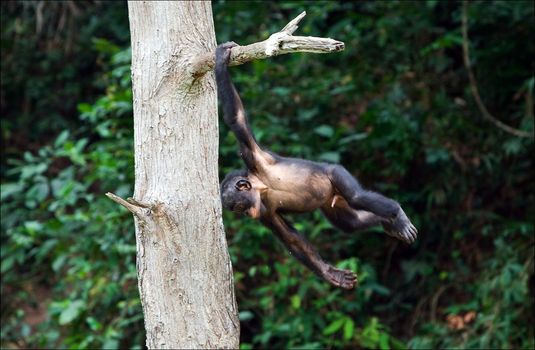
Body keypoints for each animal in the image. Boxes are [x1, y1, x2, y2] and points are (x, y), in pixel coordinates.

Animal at [217, 41, 418, 290]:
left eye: (238, 207)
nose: (245, 214)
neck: (261, 186)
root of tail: (333, 193)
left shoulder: (253, 156)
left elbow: (236, 118)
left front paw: (221, 59)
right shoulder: (264, 213)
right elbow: (292, 239)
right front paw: (332, 274)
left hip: (336, 173)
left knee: (357, 197)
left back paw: (398, 216)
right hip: (332, 204)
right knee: (351, 223)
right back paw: (388, 223)